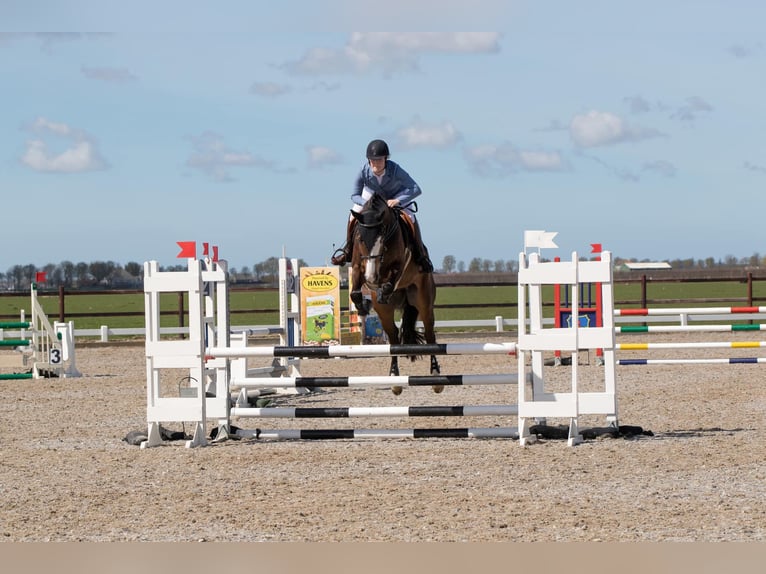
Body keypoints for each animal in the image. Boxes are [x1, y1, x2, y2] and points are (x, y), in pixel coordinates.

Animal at [350, 194, 444, 396]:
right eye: (360, 239)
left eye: (382, 238)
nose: (371, 277)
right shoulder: (357, 265)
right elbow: (354, 292)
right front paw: (362, 305)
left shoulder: (400, 263)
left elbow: (390, 280)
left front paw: (383, 290)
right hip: (385, 313)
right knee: (393, 337)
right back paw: (394, 379)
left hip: (424, 302)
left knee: (430, 335)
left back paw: (436, 378)